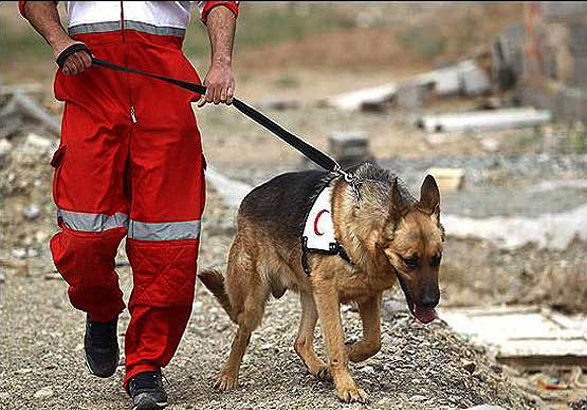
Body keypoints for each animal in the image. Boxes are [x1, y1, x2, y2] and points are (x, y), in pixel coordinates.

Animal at [200, 162, 444, 402]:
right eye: (409, 261)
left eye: (437, 259)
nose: (431, 302)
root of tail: (247, 200)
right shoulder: (329, 292)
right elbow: (336, 344)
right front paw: (347, 385)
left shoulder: (368, 296)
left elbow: (373, 341)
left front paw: (352, 352)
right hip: (256, 302)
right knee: (241, 335)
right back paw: (228, 376)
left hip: (313, 297)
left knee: (300, 341)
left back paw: (319, 367)